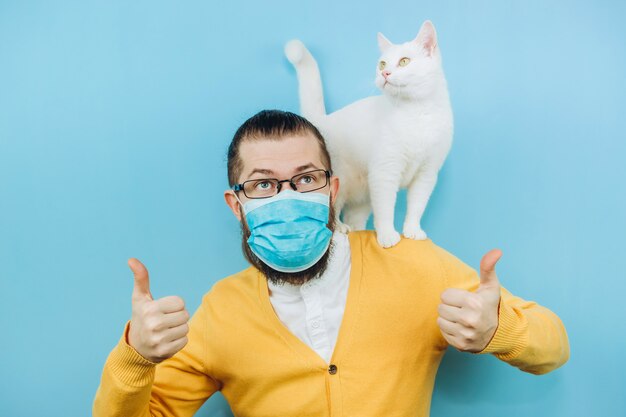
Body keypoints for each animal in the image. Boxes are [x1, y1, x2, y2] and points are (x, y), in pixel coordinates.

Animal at [286, 20, 450, 247]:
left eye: (404, 61)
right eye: (382, 64)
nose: (384, 73)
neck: (416, 113)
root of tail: (321, 121)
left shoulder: (427, 174)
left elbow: (416, 206)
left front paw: (412, 231)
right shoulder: (385, 172)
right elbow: (386, 210)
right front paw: (388, 236)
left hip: (363, 198)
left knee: (354, 218)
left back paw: (357, 232)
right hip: (338, 182)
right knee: (333, 211)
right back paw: (340, 228)